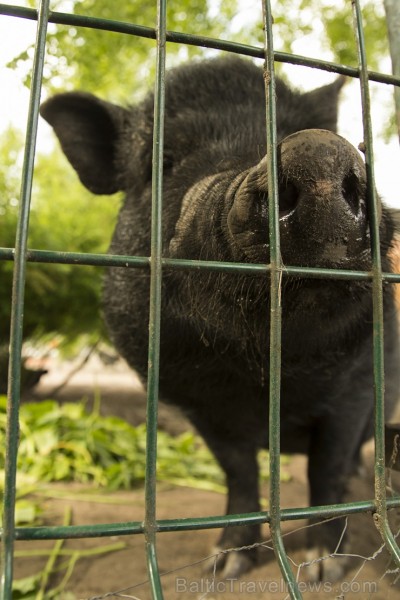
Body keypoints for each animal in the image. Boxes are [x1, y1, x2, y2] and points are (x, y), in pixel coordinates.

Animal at [40, 57, 400, 580]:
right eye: (163, 161)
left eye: (292, 129)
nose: (319, 150)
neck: (264, 377)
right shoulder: (197, 405)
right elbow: (238, 470)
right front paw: (226, 564)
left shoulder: (358, 386)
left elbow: (327, 467)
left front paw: (322, 569)